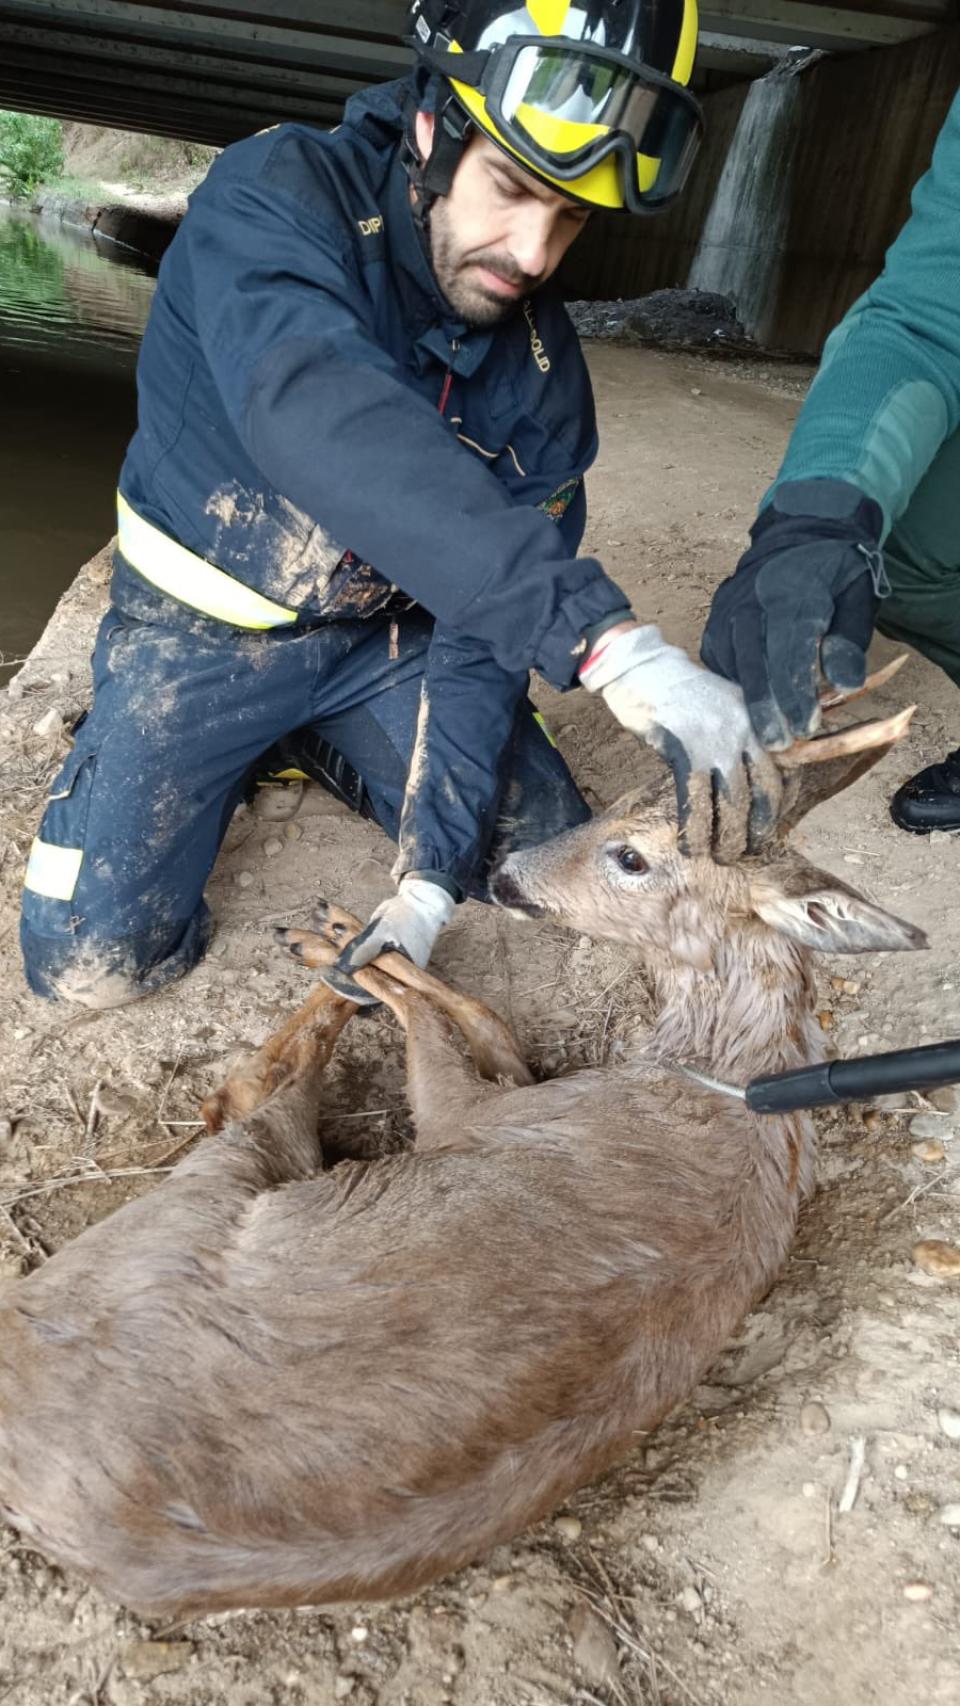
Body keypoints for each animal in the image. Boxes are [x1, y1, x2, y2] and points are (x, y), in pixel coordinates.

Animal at [0, 661, 927, 1610]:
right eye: (632, 794)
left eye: (632, 857)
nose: (505, 869)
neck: (720, 1075)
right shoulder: (521, 1089)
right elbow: (490, 1023)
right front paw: (367, 928)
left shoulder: (481, 1120)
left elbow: (439, 1026)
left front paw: (344, 937)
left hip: (197, 1204)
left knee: (250, 1098)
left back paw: (313, 957)